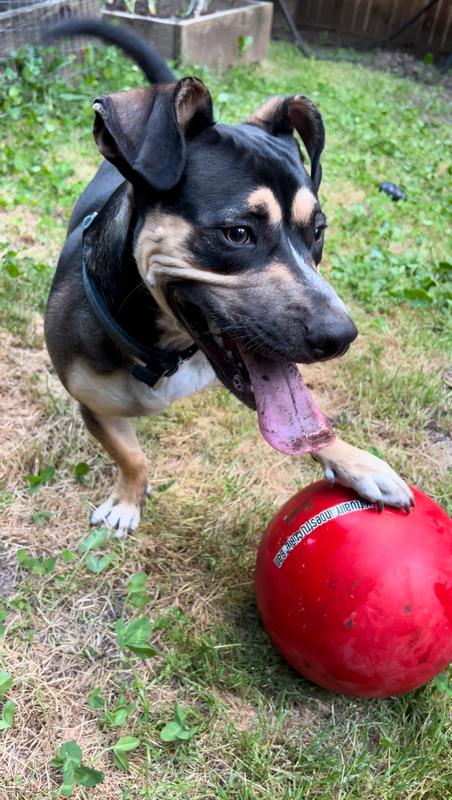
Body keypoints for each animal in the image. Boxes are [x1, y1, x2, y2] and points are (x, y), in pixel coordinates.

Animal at [45, 18, 414, 536]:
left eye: (318, 232)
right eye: (237, 234)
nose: (341, 336)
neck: (164, 353)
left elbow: (309, 424)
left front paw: (356, 462)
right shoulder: (92, 404)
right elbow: (131, 456)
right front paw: (127, 501)